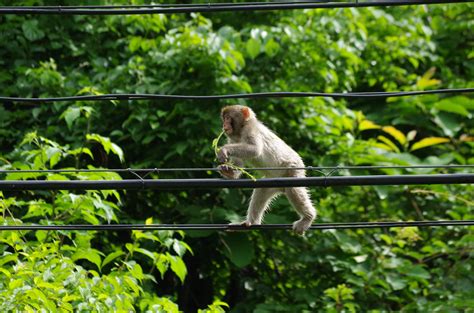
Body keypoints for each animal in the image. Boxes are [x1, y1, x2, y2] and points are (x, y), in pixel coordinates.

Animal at [218, 105, 314, 234]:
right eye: (224, 118)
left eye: (228, 118)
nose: (224, 124)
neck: (241, 130)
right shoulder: (233, 140)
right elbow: (238, 166)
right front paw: (227, 170)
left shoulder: (250, 129)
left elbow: (255, 149)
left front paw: (224, 150)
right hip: (272, 184)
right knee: (261, 191)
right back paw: (251, 222)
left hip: (293, 170)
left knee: (293, 190)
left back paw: (307, 218)